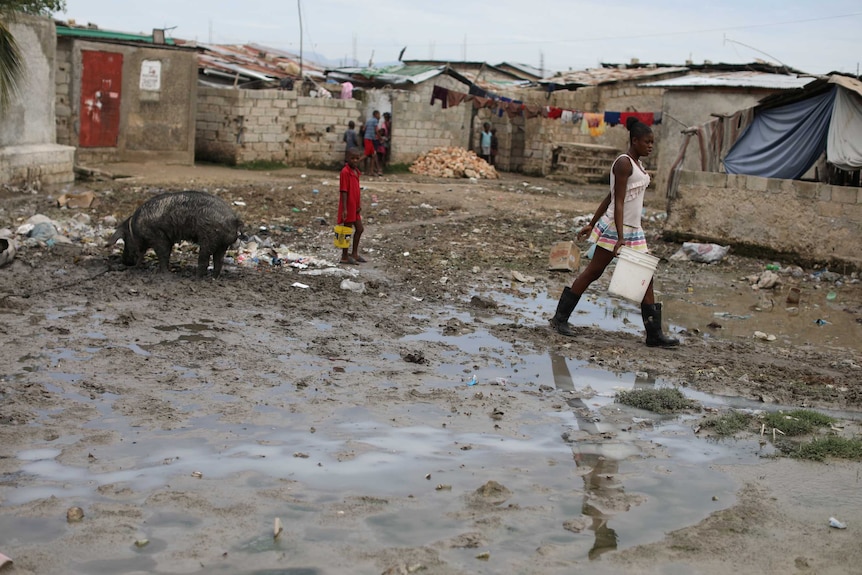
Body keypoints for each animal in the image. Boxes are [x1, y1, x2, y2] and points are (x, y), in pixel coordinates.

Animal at [109, 191, 243, 280]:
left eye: (125, 239)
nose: (124, 261)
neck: (136, 227)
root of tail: (234, 220)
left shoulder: (159, 237)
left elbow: (163, 254)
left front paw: (163, 274)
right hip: (222, 244)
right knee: (218, 261)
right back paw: (213, 278)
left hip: (208, 239)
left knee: (204, 260)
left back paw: (195, 278)